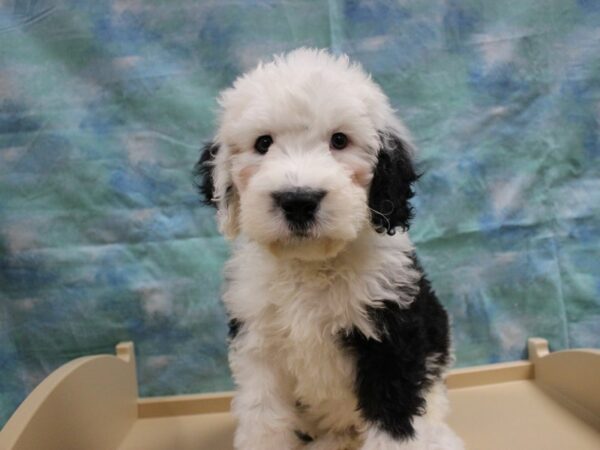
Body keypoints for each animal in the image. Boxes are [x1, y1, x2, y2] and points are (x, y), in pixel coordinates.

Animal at [197, 49, 464, 450]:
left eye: (340, 140)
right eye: (263, 143)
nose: (298, 201)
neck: (311, 265)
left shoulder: (390, 339)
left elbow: (394, 418)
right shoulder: (258, 343)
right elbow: (263, 417)